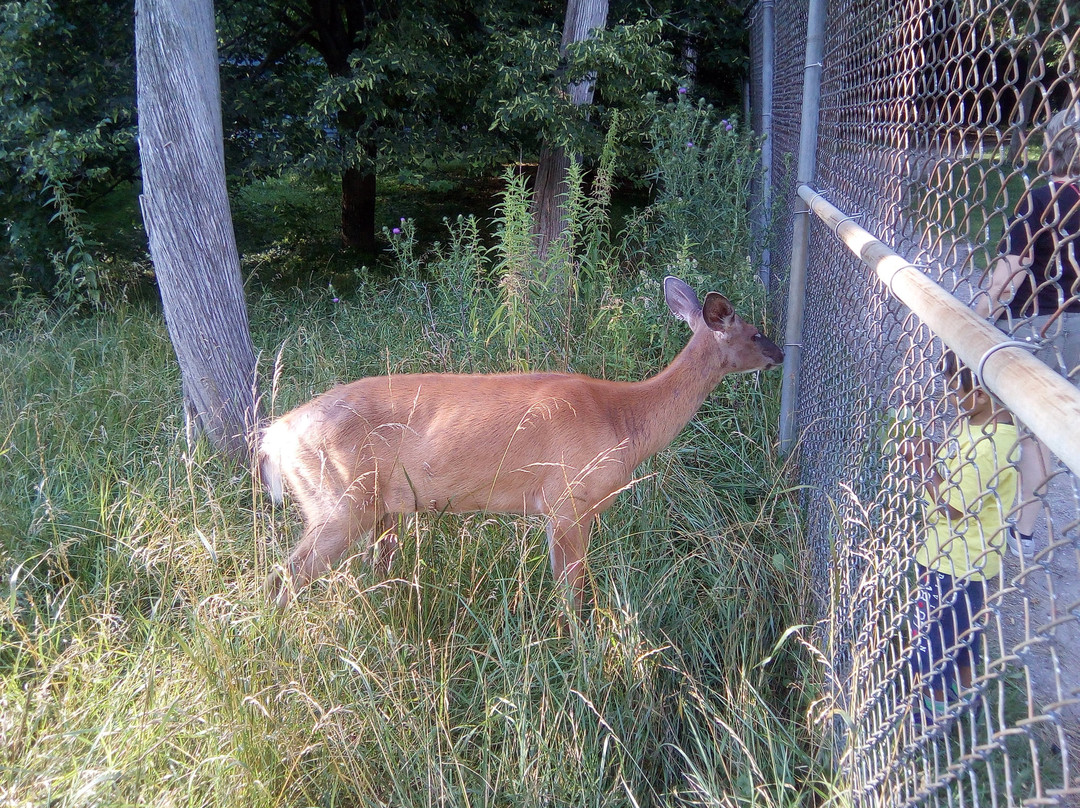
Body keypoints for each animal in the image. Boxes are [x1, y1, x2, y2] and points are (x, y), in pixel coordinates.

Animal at [261, 278, 786, 613]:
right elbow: (572, 592)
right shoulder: (568, 498)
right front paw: (578, 648)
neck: (623, 421)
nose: (781, 353)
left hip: (381, 509)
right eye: (755, 332)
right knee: (283, 576)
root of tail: (275, 435)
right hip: (337, 500)